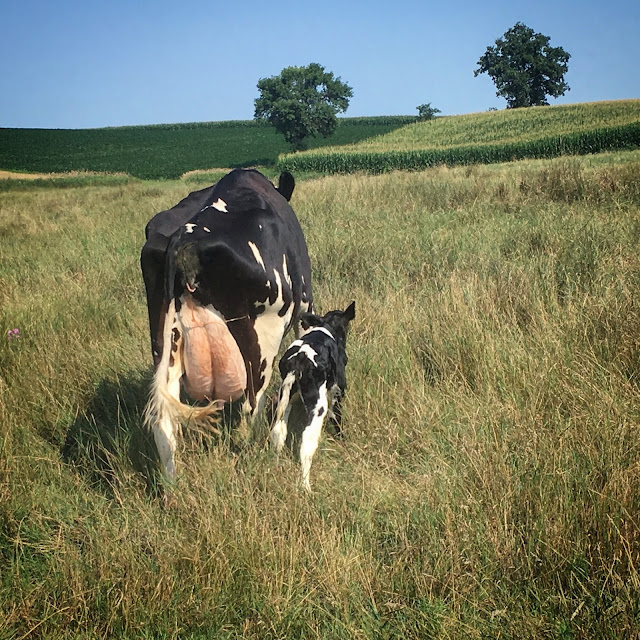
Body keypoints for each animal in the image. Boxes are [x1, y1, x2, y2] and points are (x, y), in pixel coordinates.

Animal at [140, 170, 312, 480]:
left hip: (164, 343)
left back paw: (172, 486)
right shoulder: (306, 305)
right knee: (250, 409)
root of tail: (185, 235)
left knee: (164, 425)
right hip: (262, 344)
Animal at [268, 302, 356, 492]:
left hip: (285, 397)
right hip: (318, 406)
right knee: (307, 442)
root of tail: (299, 359)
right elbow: (336, 418)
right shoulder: (338, 390)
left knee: (278, 432)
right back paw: (306, 487)